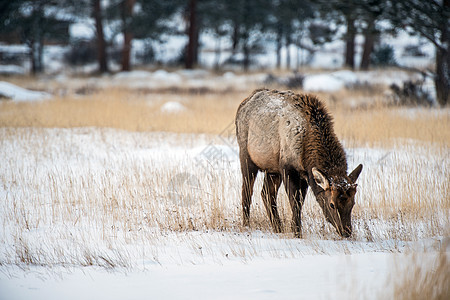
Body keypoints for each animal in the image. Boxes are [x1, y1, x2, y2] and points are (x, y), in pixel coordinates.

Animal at [236, 88, 362, 238]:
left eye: (353, 203)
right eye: (332, 204)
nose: (346, 231)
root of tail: (243, 103)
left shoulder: (304, 174)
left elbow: (300, 202)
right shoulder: (288, 168)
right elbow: (295, 203)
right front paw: (297, 233)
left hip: (272, 169)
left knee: (266, 194)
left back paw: (278, 228)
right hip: (246, 156)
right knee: (247, 191)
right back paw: (246, 225)